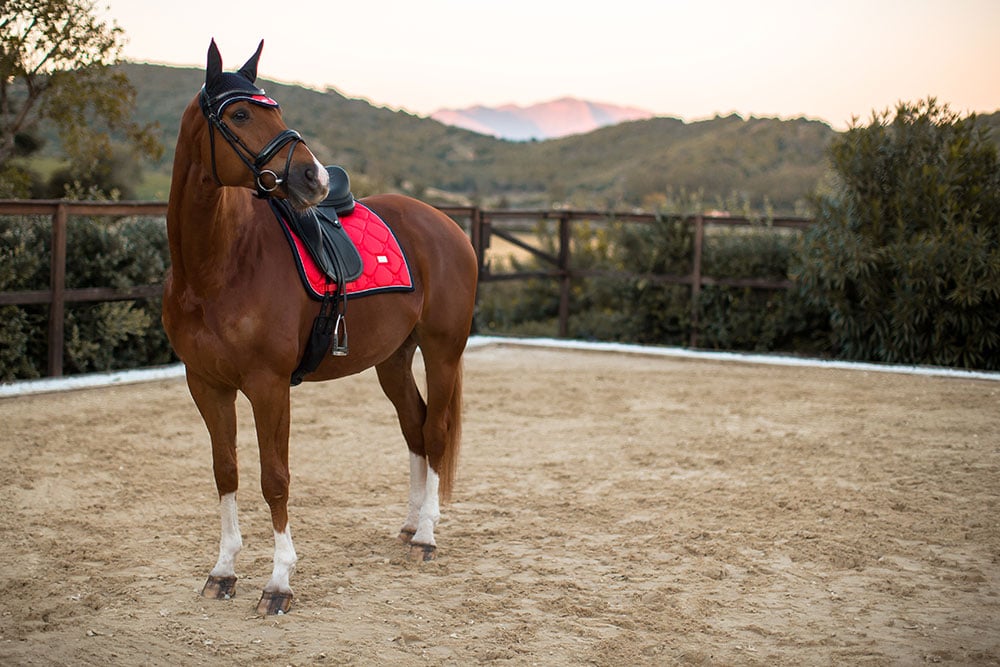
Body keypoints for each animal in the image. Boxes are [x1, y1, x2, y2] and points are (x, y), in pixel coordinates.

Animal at [162, 40, 478, 616]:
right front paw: (223, 571)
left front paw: (278, 582)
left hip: (443, 352)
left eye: (276, 108)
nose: (315, 179)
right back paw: (409, 524)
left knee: (437, 432)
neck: (218, 265)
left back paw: (426, 535)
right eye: (240, 114)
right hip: (393, 360)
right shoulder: (207, 385)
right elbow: (226, 471)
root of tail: (446, 225)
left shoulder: (268, 387)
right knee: (415, 426)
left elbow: (275, 479)